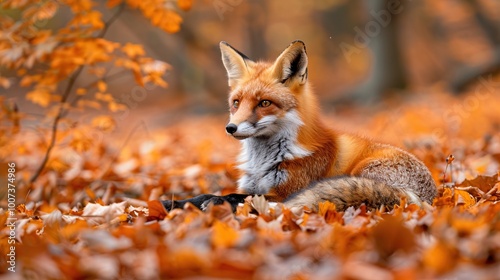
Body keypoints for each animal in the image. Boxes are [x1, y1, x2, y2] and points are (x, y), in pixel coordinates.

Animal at [162, 41, 436, 212]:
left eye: (264, 103)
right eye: (236, 103)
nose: (231, 128)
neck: (262, 163)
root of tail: (428, 197)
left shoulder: (284, 191)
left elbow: (233, 196)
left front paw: (217, 202)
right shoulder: (252, 185)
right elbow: (205, 195)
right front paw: (172, 203)